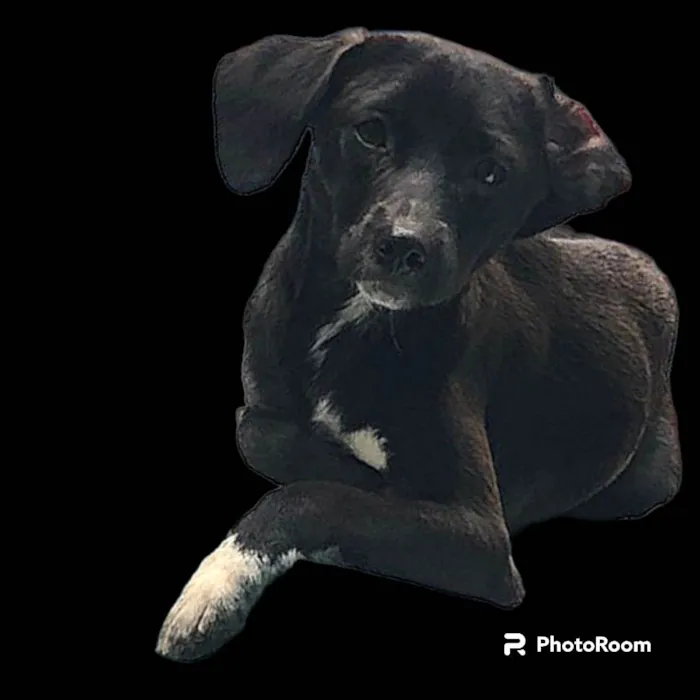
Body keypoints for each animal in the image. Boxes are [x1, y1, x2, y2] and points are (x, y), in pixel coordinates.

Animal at [155, 28, 682, 662]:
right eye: (371, 132)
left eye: (490, 172)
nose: (406, 247)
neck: (356, 322)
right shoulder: (261, 402)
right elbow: (258, 432)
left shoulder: (482, 538)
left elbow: (311, 496)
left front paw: (215, 587)